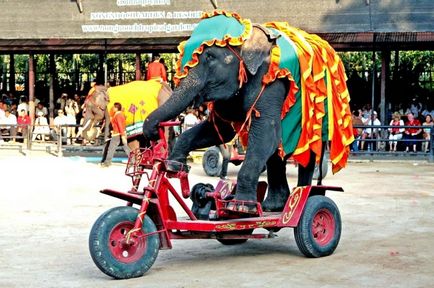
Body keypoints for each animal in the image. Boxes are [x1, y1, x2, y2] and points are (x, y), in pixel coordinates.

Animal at [142, 11, 352, 213]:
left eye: (209, 57)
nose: (152, 132)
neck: (248, 33)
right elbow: (222, 130)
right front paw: (174, 165)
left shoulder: (271, 80)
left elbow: (265, 130)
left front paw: (242, 207)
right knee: (276, 152)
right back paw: (274, 206)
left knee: (304, 154)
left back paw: (303, 196)